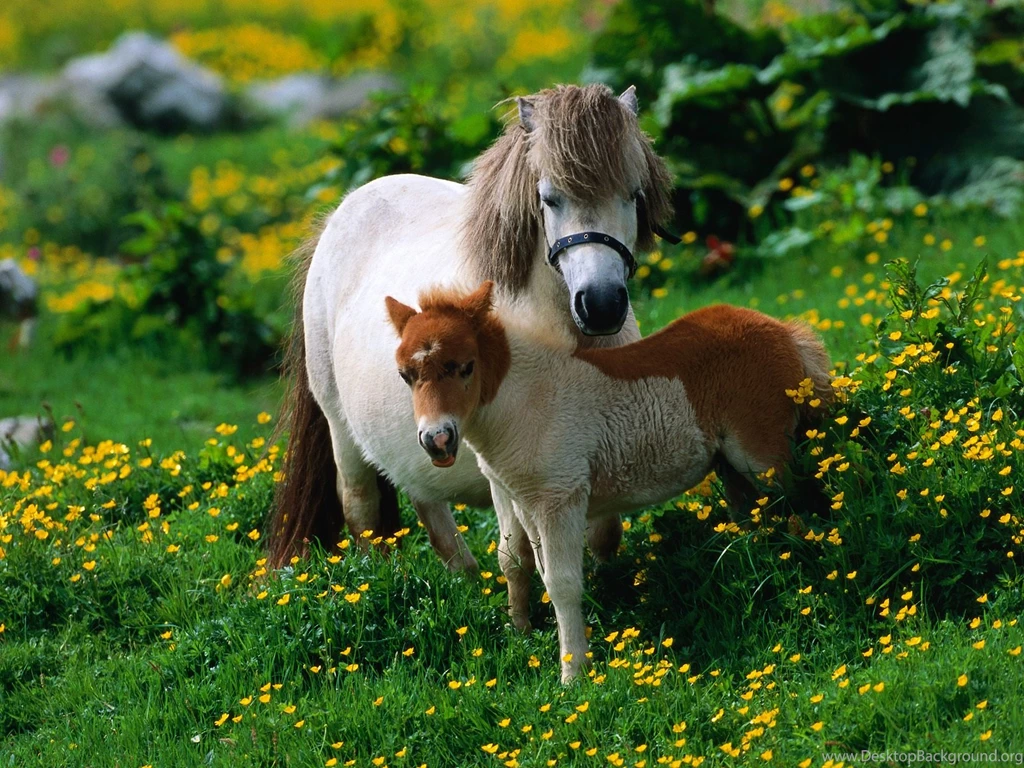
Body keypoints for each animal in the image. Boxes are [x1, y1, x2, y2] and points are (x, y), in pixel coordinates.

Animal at [266, 84, 675, 571]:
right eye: (549, 198)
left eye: (633, 194)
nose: (600, 304)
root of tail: (337, 217)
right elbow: (523, 551)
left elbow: (604, 535)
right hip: (341, 429)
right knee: (361, 507)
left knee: (425, 499)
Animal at [386, 281, 832, 681]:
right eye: (405, 375)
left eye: (465, 366)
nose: (437, 440)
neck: (527, 400)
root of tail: (783, 330)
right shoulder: (526, 502)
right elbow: (530, 568)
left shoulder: (561, 498)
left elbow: (563, 583)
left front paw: (573, 675)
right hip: (731, 465)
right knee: (754, 516)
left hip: (763, 456)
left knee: (806, 502)